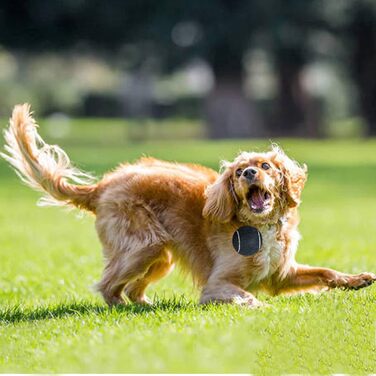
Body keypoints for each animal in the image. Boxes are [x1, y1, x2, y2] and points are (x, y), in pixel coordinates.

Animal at [1, 103, 374, 306]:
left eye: (266, 166)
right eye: (238, 171)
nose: (249, 172)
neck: (259, 226)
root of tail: (102, 185)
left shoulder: (281, 275)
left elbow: (325, 272)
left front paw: (356, 278)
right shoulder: (219, 284)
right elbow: (242, 295)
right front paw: (256, 308)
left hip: (160, 256)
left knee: (132, 288)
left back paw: (145, 306)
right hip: (145, 246)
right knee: (108, 286)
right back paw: (124, 308)